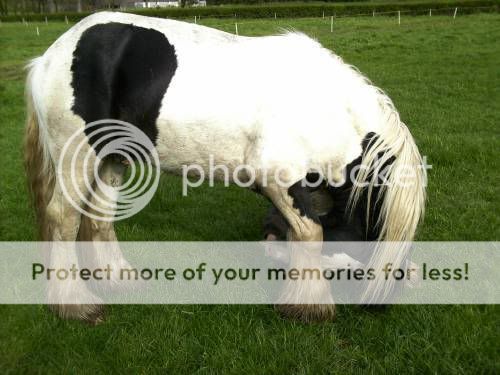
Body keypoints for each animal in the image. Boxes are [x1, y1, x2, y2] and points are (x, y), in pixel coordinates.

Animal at [23, 11, 426, 324]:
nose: (399, 288)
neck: (327, 105)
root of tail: (49, 57)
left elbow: (300, 236)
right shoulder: (280, 179)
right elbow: (312, 236)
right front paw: (310, 306)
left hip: (111, 159)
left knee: (99, 218)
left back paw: (119, 279)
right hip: (78, 156)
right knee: (63, 219)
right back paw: (75, 304)